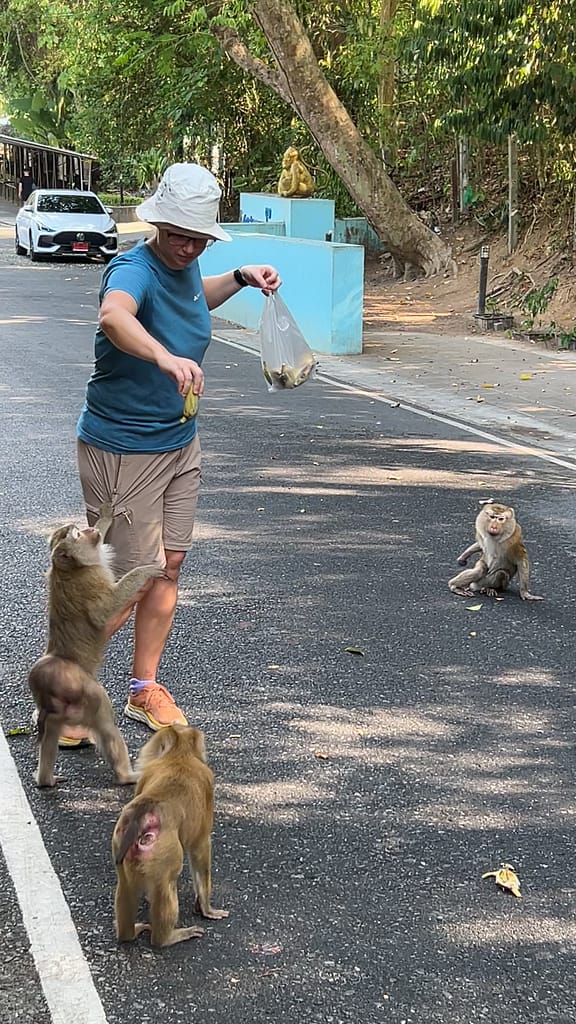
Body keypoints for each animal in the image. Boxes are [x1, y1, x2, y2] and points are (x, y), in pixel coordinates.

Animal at [28, 501, 163, 782]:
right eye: (77, 534)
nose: (88, 530)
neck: (71, 567)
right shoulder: (91, 578)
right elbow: (105, 610)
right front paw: (144, 570)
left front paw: (106, 514)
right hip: (87, 693)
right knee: (105, 724)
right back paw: (127, 776)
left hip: (58, 710)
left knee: (50, 732)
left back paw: (45, 780)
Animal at [111, 724, 227, 946]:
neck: (180, 754)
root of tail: (143, 815)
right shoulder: (208, 783)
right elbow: (200, 848)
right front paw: (207, 909)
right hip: (165, 850)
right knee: (166, 885)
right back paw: (167, 938)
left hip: (119, 840)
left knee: (125, 886)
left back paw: (128, 934)